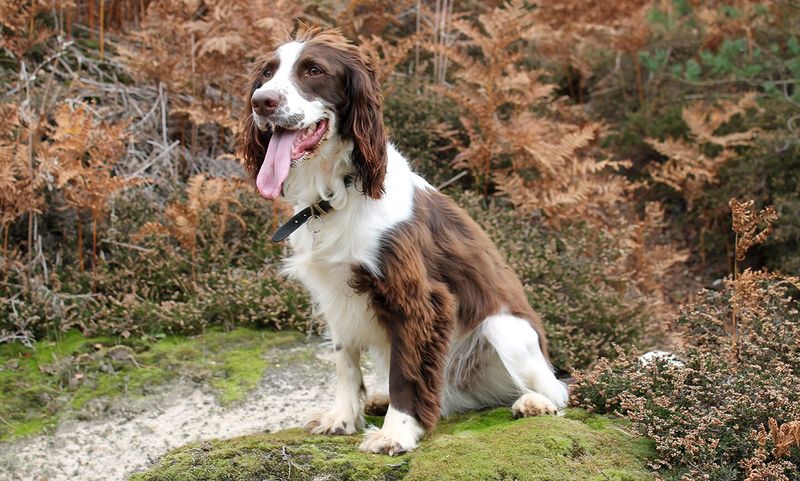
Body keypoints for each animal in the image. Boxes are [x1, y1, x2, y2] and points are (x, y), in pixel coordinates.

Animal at [238, 26, 568, 454]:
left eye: (313, 70)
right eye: (266, 73)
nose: (262, 101)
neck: (340, 190)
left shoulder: (419, 299)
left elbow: (406, 372)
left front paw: (397, 432)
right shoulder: (334, 295)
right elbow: (345, 361)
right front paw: (343, 417)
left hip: (507, 330)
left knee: (557, 392)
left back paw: (533, 402)